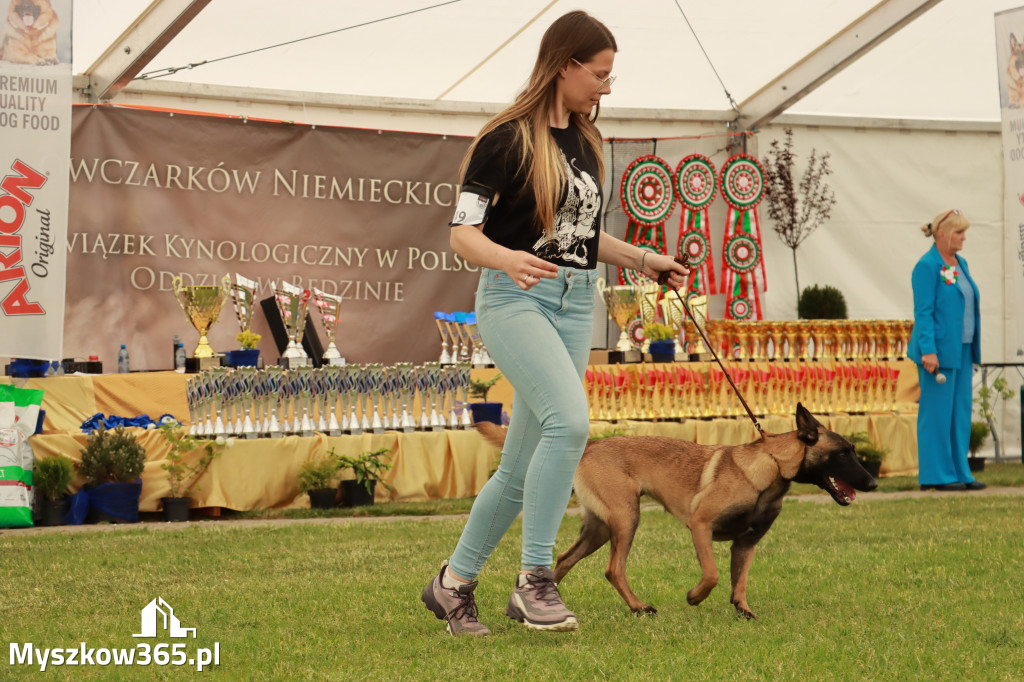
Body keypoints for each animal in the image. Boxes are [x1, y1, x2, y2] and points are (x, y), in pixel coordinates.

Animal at [475, 401, 876, 618]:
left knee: (563, 560)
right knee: (613, 569)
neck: (771, 467)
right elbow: (713, 574)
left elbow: (739, 580)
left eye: (854, 451)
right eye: (843, 453)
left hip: (600, 528)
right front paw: (695, 596)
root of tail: (591, 445)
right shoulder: (700, 526)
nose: (872, 484)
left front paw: (742, 609)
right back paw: (638, 607)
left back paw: (539, 603)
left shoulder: (746, 543)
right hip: (626, 518)